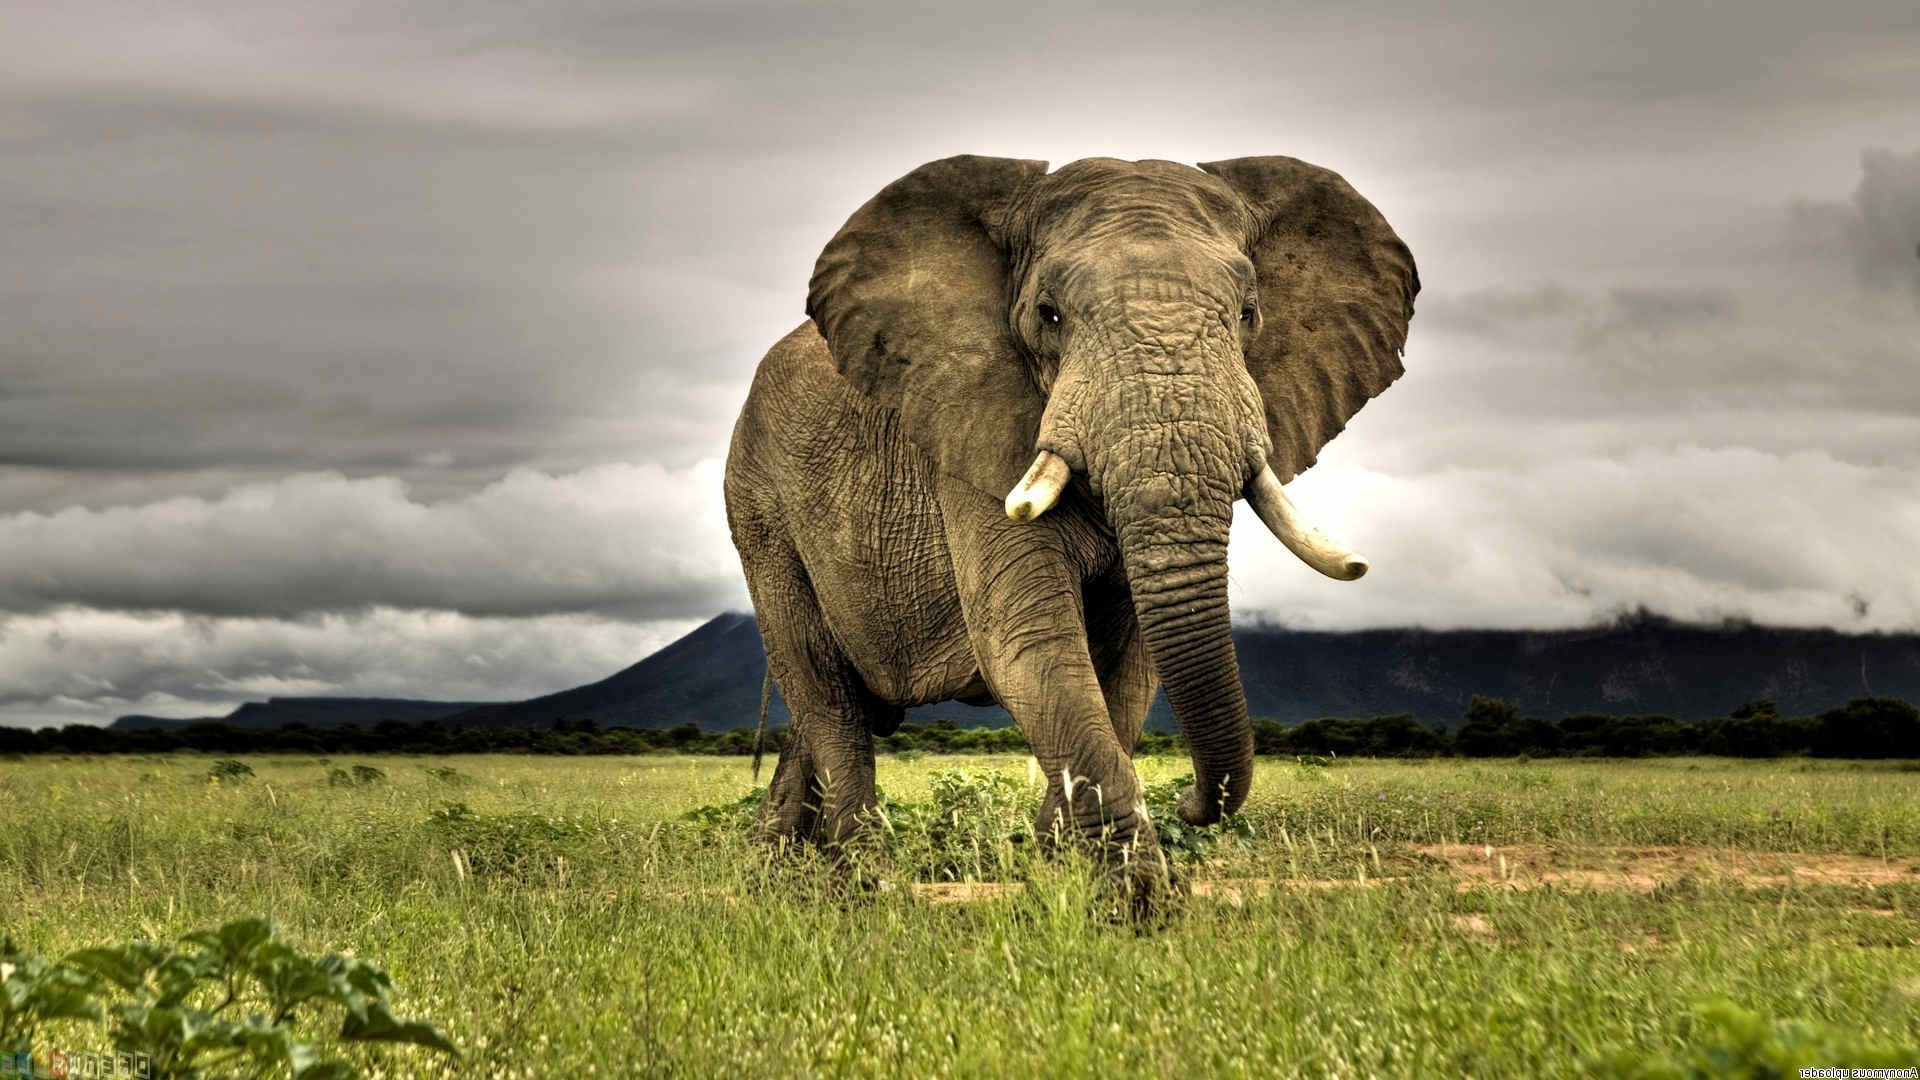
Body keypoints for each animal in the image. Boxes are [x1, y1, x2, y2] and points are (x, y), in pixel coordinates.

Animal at [725, 155, 1420, 883]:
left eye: (1248, 313)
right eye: (1048, 315)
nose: (1195, 803)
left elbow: (1129, 669)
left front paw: (1056, 868)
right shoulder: (972, 433)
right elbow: (1029, 641)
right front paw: (1131, 897)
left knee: (830, 711)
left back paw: (779, 866)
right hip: (760, 508)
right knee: (825, 694)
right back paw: (862, 882)